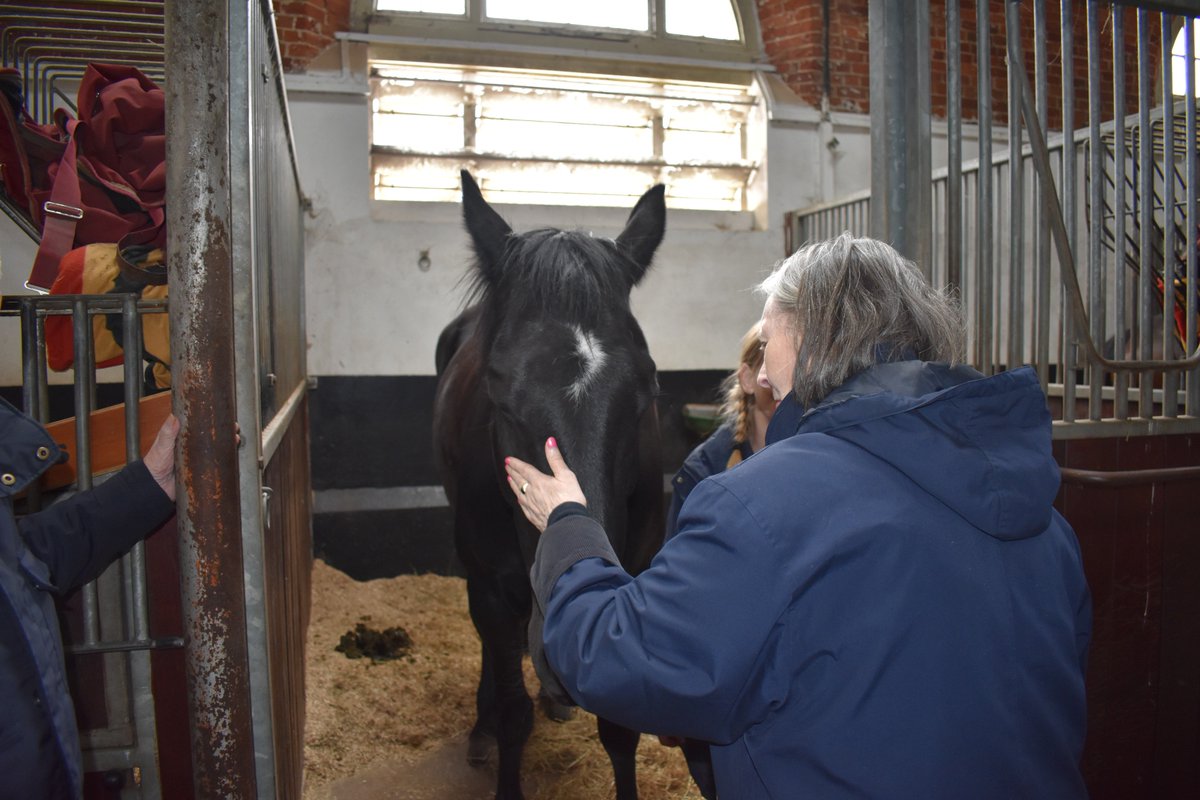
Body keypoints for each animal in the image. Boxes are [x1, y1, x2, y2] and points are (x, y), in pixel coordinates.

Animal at [433, 170, 667, 800]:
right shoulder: (491, 588)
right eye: (496, 385)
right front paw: (498, 731)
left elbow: (620, 728)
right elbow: (515, 715)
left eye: (648, 386)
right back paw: (482, 727)